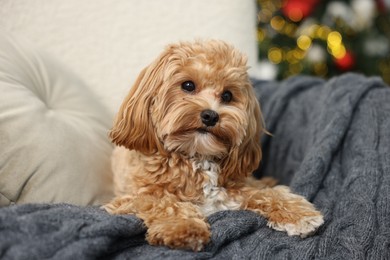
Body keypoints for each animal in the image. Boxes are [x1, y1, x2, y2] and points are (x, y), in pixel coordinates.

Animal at [103, 40, 322, 252]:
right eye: (188, 85)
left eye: (227, 96)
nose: (210, 115)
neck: (197, 156)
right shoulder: (132, 199)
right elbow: (165, 203)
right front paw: (185, 227)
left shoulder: (237, 187)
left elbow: (268, 193)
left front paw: (298, 213)